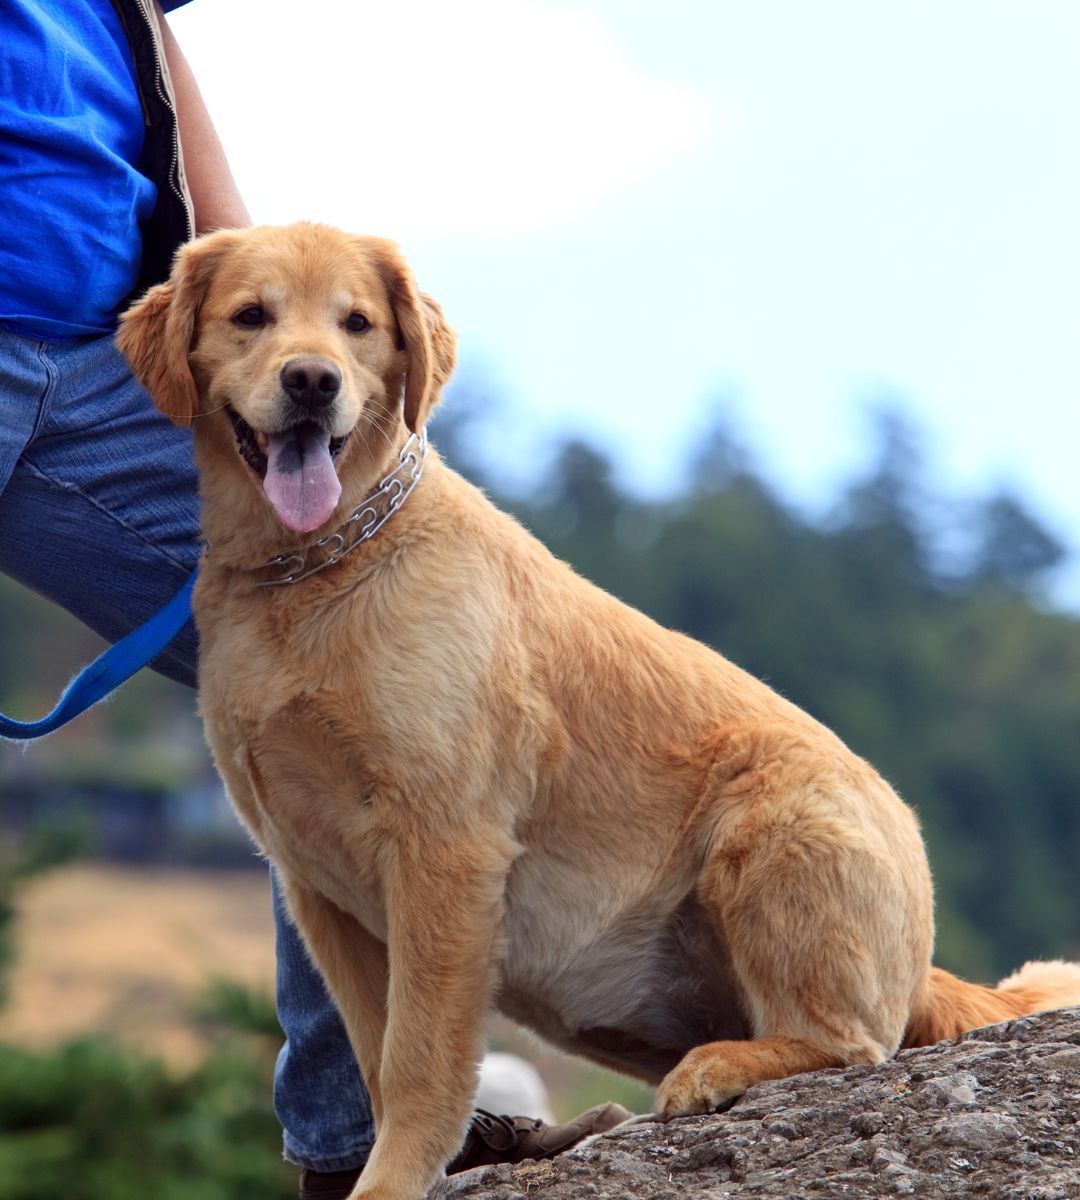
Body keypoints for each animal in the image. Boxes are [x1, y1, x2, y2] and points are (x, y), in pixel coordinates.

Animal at [115, 225, 1080, 1200]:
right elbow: (376, 1060)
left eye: (357, 323)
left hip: (772, 823)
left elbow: (419, 1061)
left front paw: (393, 1180)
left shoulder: (444, 851)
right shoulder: (317, 887)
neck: (314, 568)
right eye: (251, 316)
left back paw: (720, 1067)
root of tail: (923, 964)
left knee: (851, 1042)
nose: (312, 381)